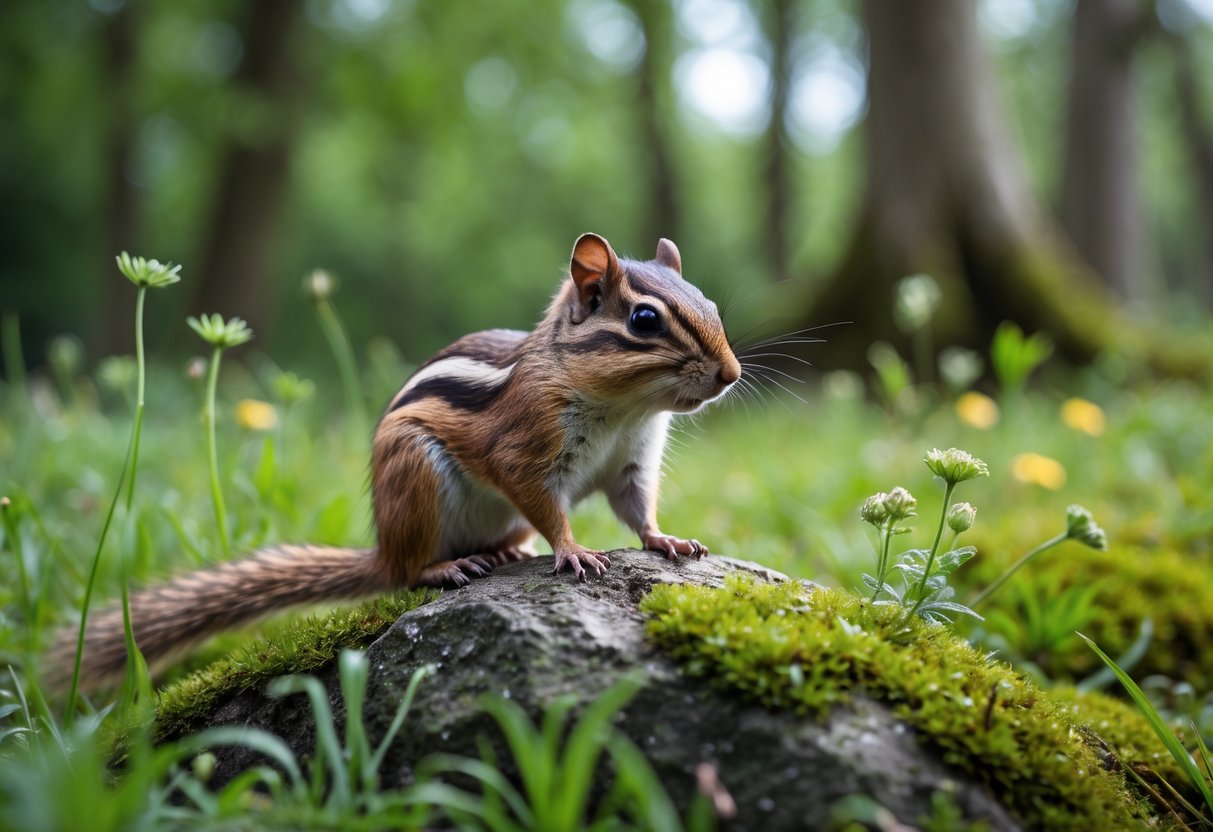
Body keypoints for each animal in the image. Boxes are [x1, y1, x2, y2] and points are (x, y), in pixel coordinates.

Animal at [56, 233, 741, 689]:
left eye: (712, 305)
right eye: (644, 319)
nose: (731, 375)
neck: (624, 410)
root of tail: (382, 547)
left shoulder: (633, 461)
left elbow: (638, 508)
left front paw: (667, 540)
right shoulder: (524, 449)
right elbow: (547, 505)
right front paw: (573, 550)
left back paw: (503, 553)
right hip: (415, 476)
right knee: (409, 570)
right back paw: (447, 566)